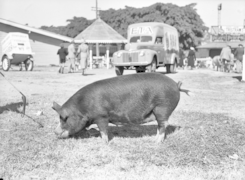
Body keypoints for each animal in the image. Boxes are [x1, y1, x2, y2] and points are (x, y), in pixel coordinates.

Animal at [52, 73, 189, 143]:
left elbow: (103, 130)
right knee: (161, 125)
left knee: (163, 124)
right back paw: (154, 139)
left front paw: (103, 142)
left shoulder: (102, 116)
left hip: (162, 107)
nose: (55, 132)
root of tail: (176, 85)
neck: (83, 106)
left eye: (64, 118)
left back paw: (156, 141)